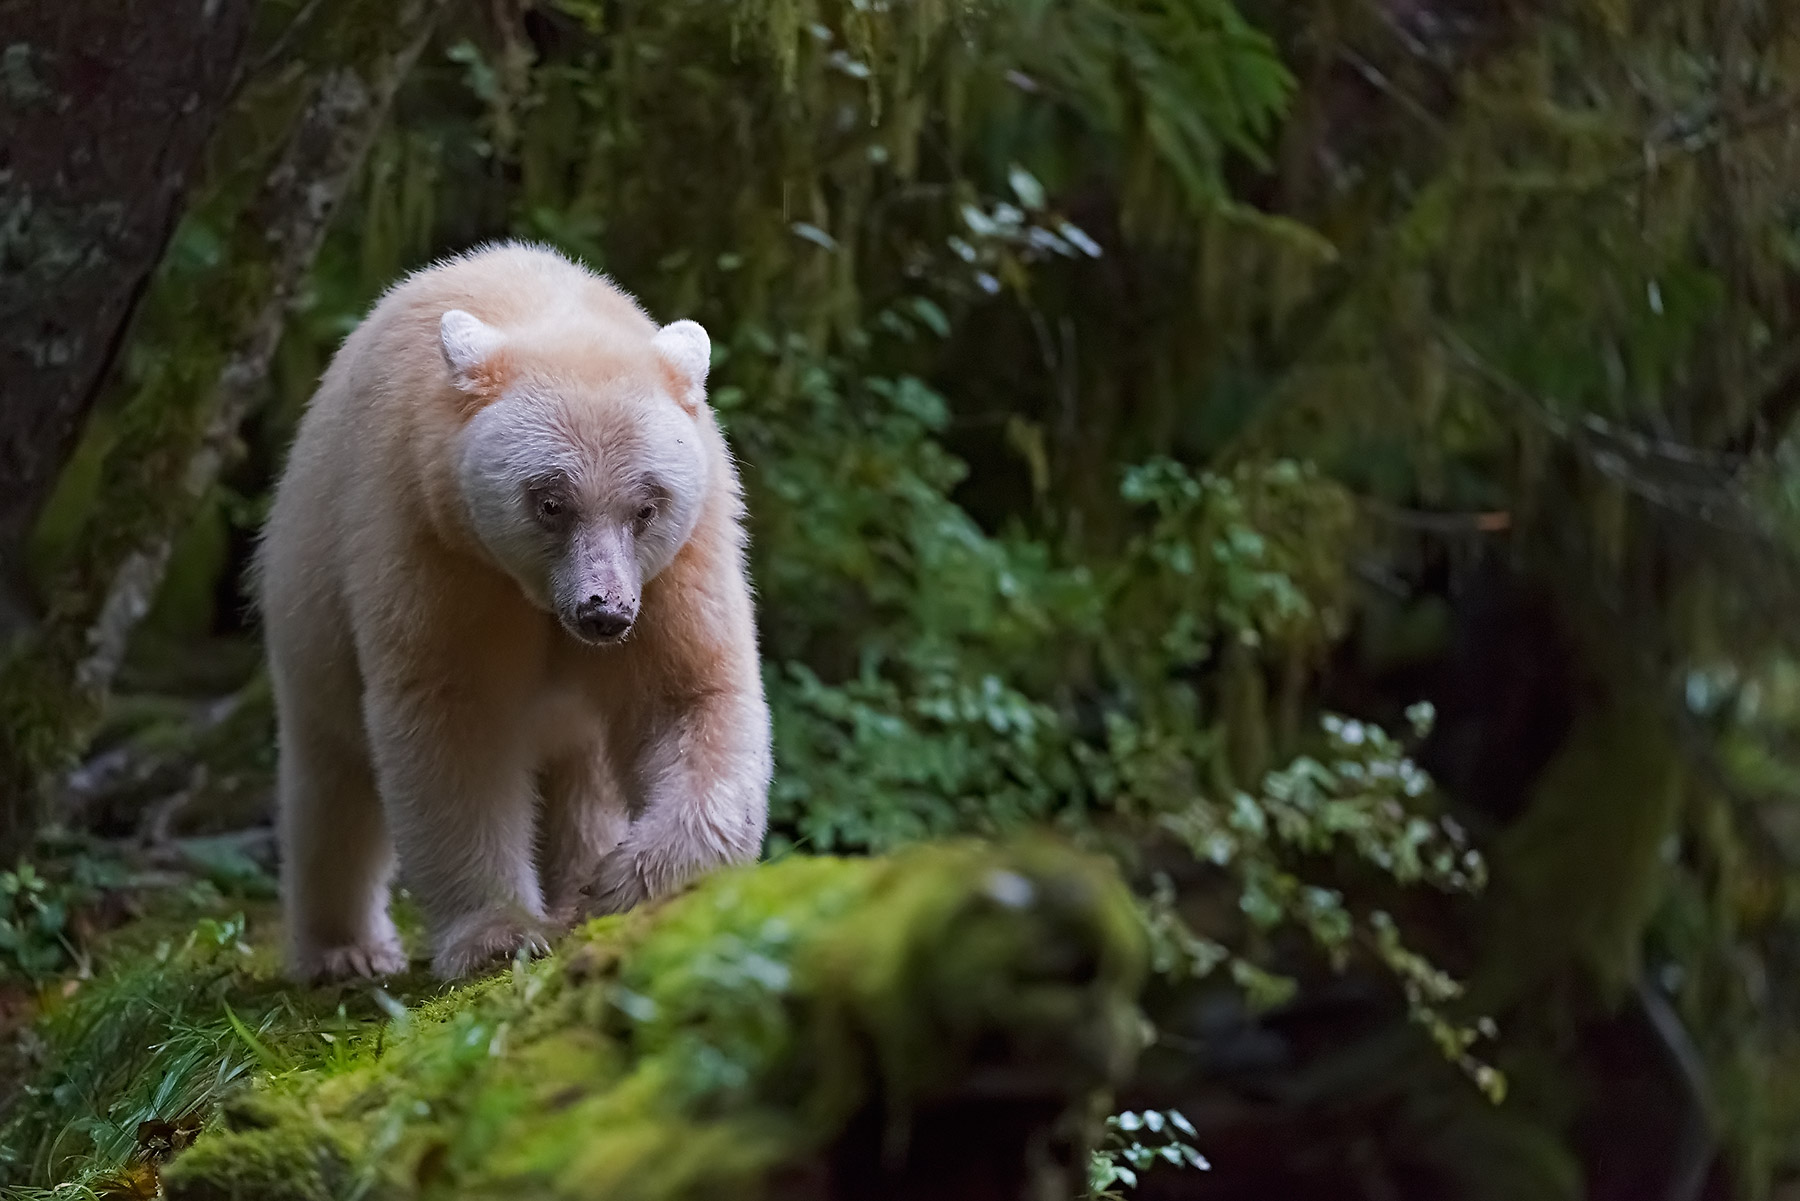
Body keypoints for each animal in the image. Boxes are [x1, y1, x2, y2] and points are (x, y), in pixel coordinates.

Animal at [254, 241, 771, 981]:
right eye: (550, 501)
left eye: (647, 507)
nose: (604, 612)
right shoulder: (434, 542)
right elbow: (452, 719)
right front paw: (499, 933)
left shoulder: (681, 562)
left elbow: (689, 691)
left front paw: (626, 880)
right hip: (308, 620)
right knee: (332, 787)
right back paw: (344, 948)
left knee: (582, 780)